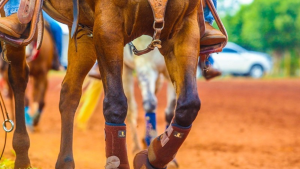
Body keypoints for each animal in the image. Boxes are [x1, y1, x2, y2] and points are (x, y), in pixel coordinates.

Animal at [2, 0, 202, 168]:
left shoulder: (186, 25)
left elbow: (188, 106)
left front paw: (153, 157)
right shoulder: (108, 25)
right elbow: (117, 105)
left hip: (83, 30)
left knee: (69, 93)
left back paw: (64, 162)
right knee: (19, 78)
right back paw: (21, 156)